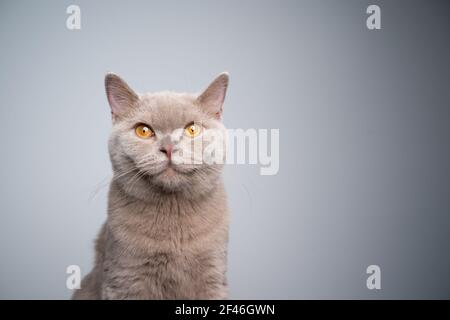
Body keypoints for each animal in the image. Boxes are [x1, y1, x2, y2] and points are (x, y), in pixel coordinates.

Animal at [73, 72, 232, 300]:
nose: (169, 148)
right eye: (143, 131)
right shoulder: (125, 277)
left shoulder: (213, 275)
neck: (172, 210)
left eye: (192, 129)